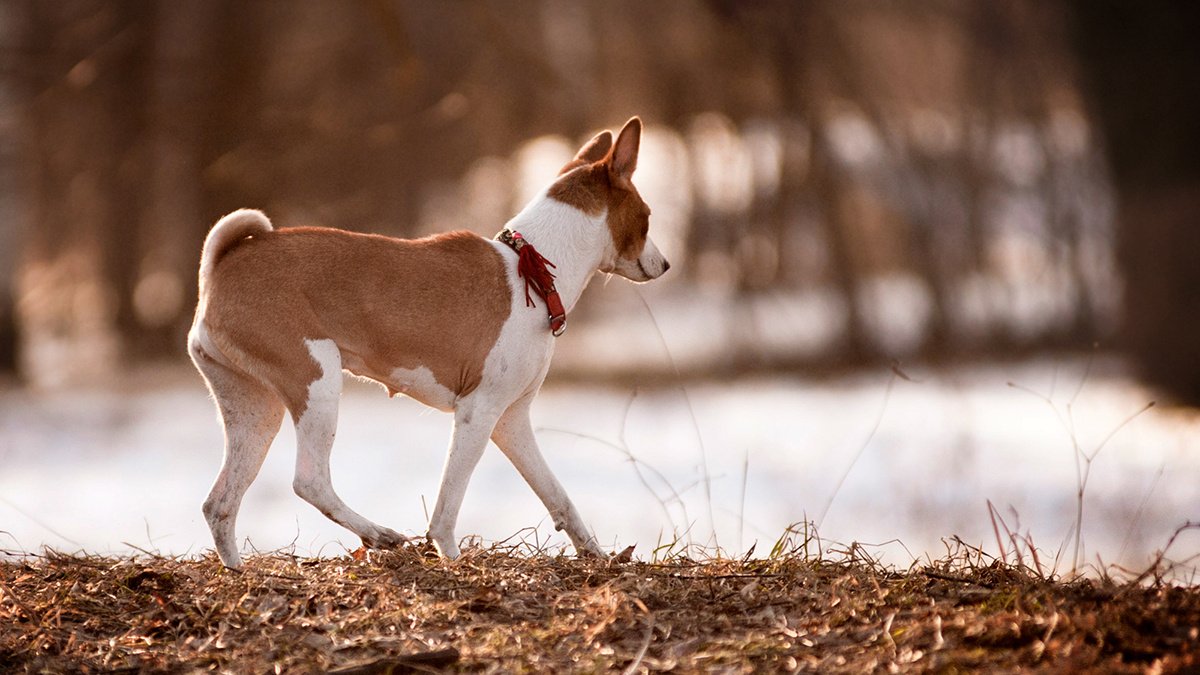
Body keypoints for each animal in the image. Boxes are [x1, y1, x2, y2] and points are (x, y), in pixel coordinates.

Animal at [192, 117, 672, 566]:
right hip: (318, 382)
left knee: (219, 505)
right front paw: (453, 559)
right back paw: (379, 534)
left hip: (255, 413)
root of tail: (222, 268)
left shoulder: (511, 421)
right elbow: (447, 508)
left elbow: (560, 498)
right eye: (647, 217)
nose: (665, 265)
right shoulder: (477, 414)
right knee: (309, 481)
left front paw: (595, 554)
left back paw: (239, 571)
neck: (533, 267)